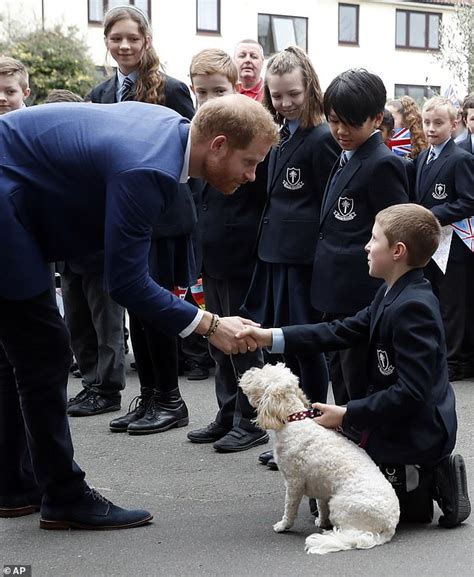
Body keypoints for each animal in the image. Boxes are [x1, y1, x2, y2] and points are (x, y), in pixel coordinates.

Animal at [241, 362, 400, 556]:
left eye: (262, 375)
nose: (248, 372)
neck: (295, 421)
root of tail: (389, 527)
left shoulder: (293, 483)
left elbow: (289, 508)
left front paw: (283, 525)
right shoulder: (321, 485)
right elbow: (320, 505)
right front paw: (321, 521)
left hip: (340, 506)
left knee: (350, 533)